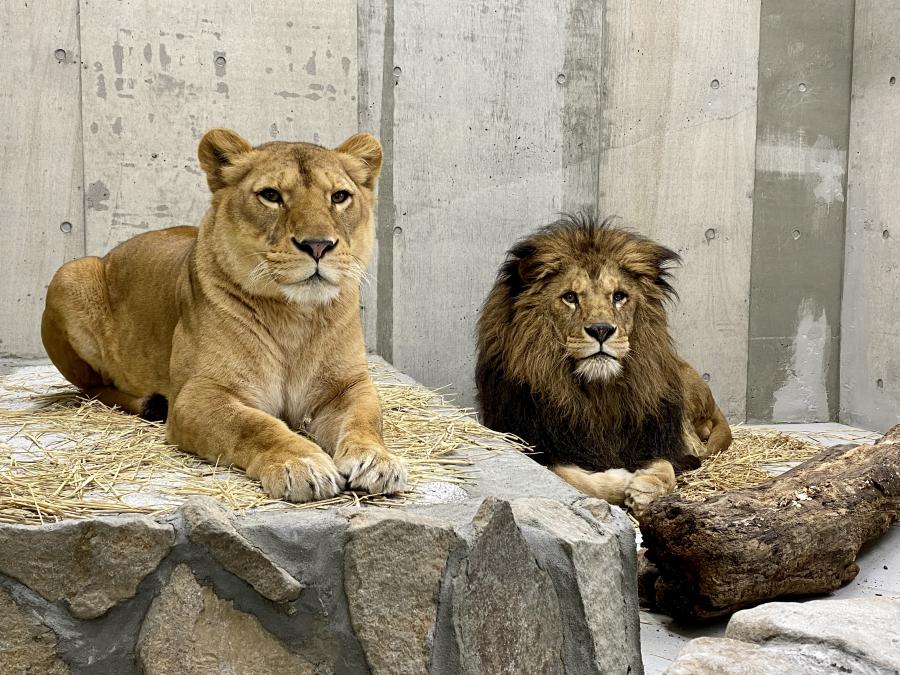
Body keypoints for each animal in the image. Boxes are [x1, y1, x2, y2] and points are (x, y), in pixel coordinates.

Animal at [41, 131, 408, 502]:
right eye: (271, 195)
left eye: (339, 197)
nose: (317, 245)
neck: (294, 315)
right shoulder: (197, 395)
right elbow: (254, 425)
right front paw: (300, 463)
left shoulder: (347, 385)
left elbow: (366, 418)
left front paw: (377, 460)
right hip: (69, 274)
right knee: (92, 388)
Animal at [478, 217, 732, 516]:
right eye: (570, 297)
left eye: (619, 296)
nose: (601, 330)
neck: (598, 397)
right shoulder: (535, 444)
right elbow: (574, 478)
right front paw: (622, 479)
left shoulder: (650, 438)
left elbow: (666, 465)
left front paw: (646, 487)